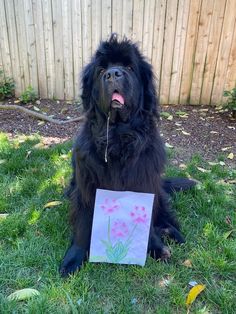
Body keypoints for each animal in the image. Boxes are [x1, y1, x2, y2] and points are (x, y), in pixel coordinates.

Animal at [59, 33, 195, 278]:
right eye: (101, 69)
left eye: (130, 67)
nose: (113, 73)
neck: (118, 138)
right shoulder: (86, 187)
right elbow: (83, 224)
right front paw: (74, 258)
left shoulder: (145, 184)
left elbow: (148, 221)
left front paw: (155, 246)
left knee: (164, 212)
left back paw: (171, 232)